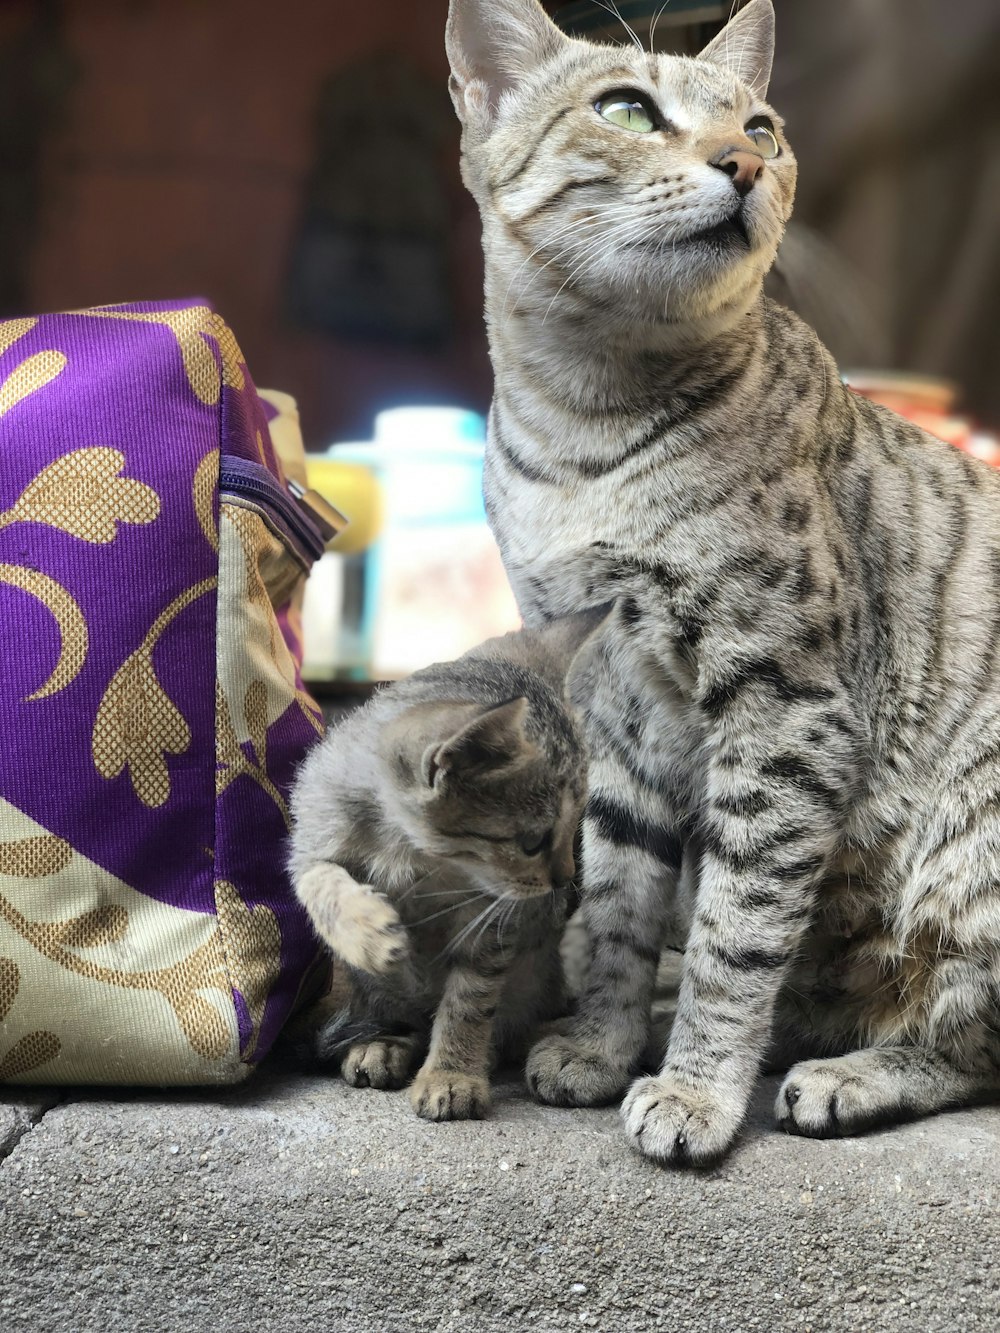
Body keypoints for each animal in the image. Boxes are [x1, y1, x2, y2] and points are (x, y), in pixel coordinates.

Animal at [285, 610, 608, 1119]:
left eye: (577, 827)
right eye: (533, 841)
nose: (567, 881)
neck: (413, 853)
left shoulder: (491, 926)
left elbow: (468, 1003)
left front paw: (452, 1074)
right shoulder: (311, 842)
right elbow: (322, 883)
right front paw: (368, 930)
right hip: (377, 992)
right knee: (394, 1016)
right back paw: (381, 1044)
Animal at [445, 0, 1000, 1167]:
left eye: (762, 126)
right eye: (625, 109)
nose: (742, 161)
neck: (584, 431)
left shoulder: (785, 713)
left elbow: (731, 936)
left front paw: (696, 1087)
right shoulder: (615, 710)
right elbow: (616, 910)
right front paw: (603, 1046)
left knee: (967, 1038)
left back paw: (846, 1074)